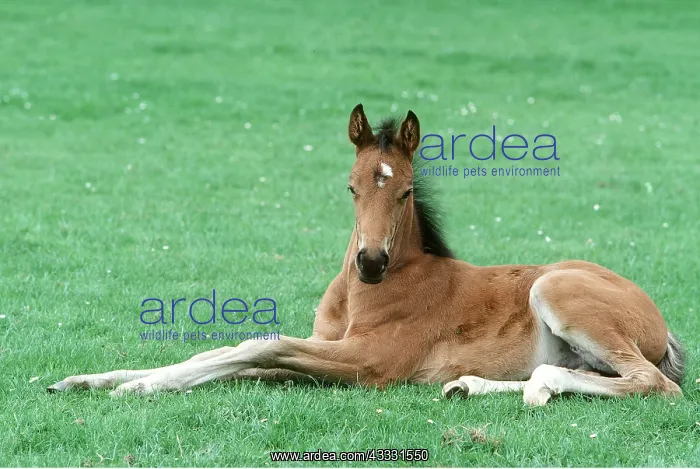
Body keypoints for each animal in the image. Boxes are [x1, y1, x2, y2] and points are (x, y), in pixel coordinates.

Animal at [48, 104, 685, 405]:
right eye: (350, 187)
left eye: (404, 192)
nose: (371, 262)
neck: (363, 296)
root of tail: (660, 320)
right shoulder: (326, 349)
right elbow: (235, 354)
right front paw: (86, 380)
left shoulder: (369, 361)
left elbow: (255, 345)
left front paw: (135, 389)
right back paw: (471, 386)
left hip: (554, 290)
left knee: (653, 383)